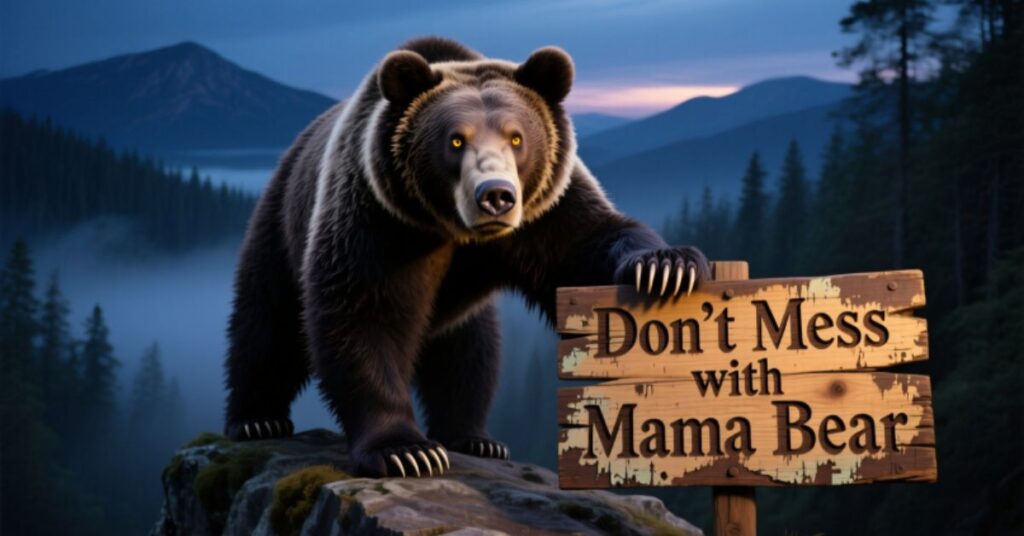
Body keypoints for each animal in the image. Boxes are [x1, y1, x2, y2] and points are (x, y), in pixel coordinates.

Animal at [223, 36, 710, 478]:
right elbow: (362, 312)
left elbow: (590, 243)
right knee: (265, 322)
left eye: (517, 137)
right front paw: (406, 452)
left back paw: (474, 437)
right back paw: (256, 419)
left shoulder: (543, 214)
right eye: (456, 140)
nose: (496, 195)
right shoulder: (379, 221)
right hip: (280, 222)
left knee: (471, 354)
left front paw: (667, 269)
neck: (452, 229)